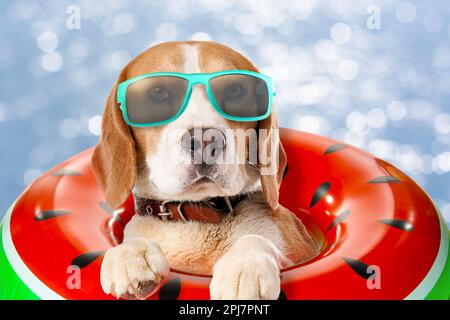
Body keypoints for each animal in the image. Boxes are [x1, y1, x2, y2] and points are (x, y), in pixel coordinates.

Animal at [91, 40, 318, 300]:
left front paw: (246, 267)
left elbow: (256, 238)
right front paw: (131, 254)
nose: (205, 139)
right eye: (158, 92)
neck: (197, 217)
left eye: (235, 90)